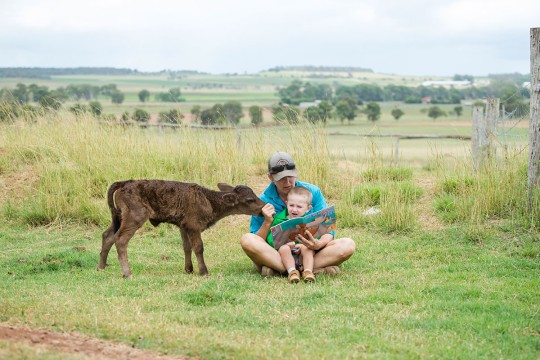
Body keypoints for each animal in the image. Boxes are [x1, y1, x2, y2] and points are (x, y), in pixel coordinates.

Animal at [98, 180, 266, 278]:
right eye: (250, 200)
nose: (264, 206)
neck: (208, 200)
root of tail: (125, 183)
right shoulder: (193, 225)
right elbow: (198, 247)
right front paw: (203, 271)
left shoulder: (183, 226)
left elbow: (186, 247)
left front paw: (188, 269)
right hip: (135, 216)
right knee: (120, 240)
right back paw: (127, 273)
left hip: (120, 217)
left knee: (107, 235)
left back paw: (101, 266)